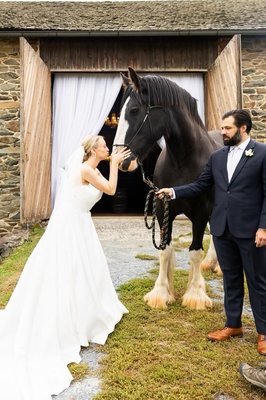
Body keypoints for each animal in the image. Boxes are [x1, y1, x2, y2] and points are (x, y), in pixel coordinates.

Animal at [112, 68, 222, 310]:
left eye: (134, 110)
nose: (119, 161)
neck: (185, 160)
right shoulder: (164, 207)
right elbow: (165, 250)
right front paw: (161, 293)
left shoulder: (202, 212)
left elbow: (195, 252)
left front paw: (196, 295)